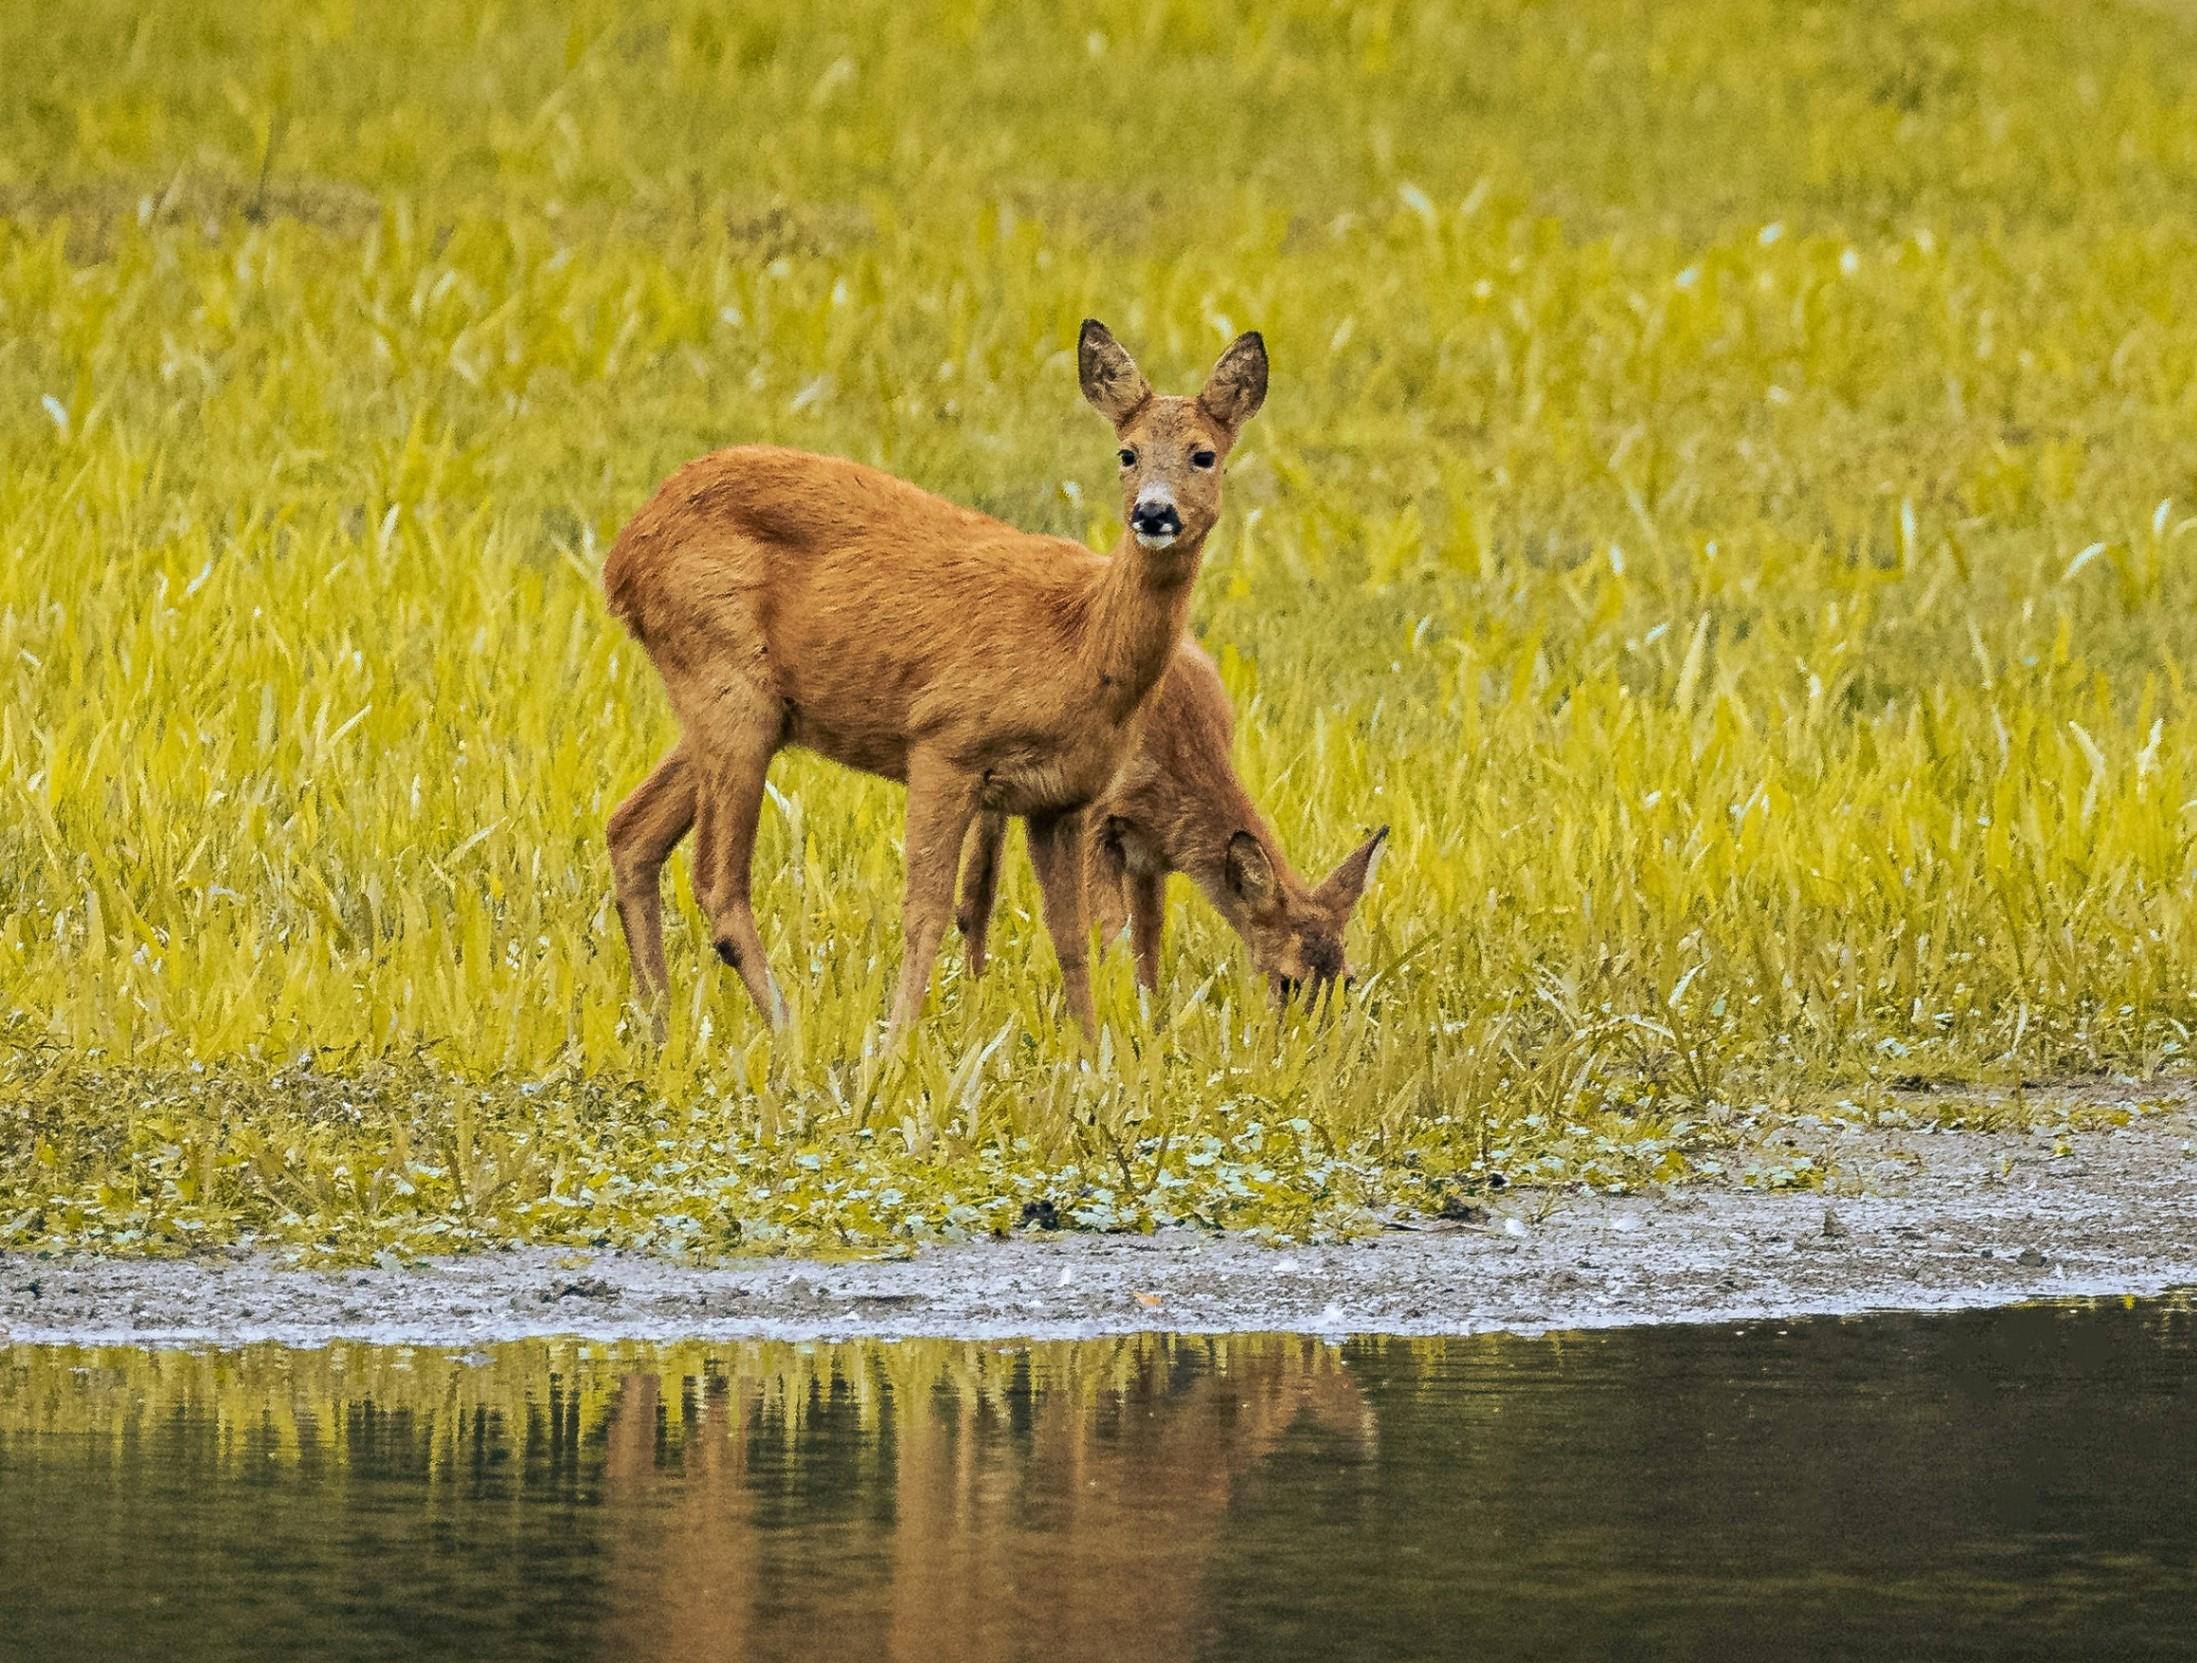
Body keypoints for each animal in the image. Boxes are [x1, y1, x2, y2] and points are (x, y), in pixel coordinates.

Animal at [601, 325, 1274, 1036]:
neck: (1079, 640)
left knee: (631, 829)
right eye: (1127, 452)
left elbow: (1071, 938)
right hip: (726, 680)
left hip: (747, 706)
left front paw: (1093, 1052)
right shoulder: (943, 741)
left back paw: (661, 1024)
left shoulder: (1062, 799)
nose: (1153, 512)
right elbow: (924, 914)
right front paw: (895, 1044)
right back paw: (787, 1035)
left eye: (1204, 455)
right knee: (716, 882)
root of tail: (622, 559)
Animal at [957, 645, 1388, 1010]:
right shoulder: (1094, 823)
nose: (1317, 1044)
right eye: (1288, 982)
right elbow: (1110, 930)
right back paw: (974, 991)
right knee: (979, 883)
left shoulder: (1150, 854)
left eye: (1348, 981)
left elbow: (1148, 938)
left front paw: (1148, 1014)